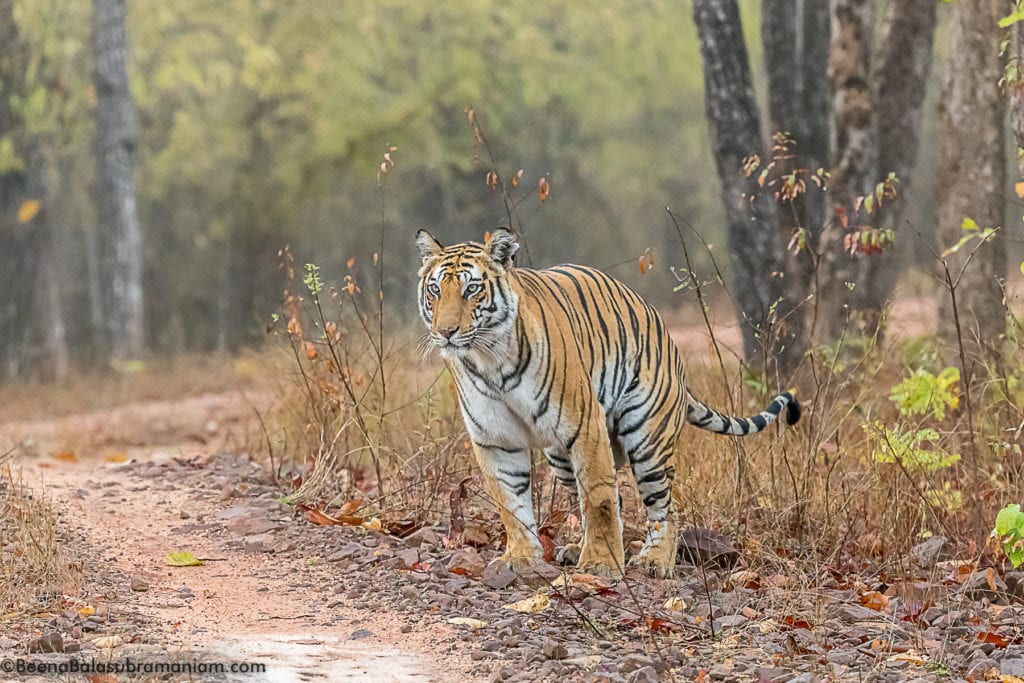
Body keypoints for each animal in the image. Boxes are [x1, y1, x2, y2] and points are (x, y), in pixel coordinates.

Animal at [415, 228, 798, 577]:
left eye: (472, 289)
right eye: (436, 290)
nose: (446, 332)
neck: (489, 360)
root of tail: (667, 338)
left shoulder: (585, 425)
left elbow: (598, 499)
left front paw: (600, 565)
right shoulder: (495, 439)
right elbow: (511, 504)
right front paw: (521, 558)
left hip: (648, 439)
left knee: (666, 505)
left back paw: (654, 561)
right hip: (560, 457)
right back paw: (578, 548)